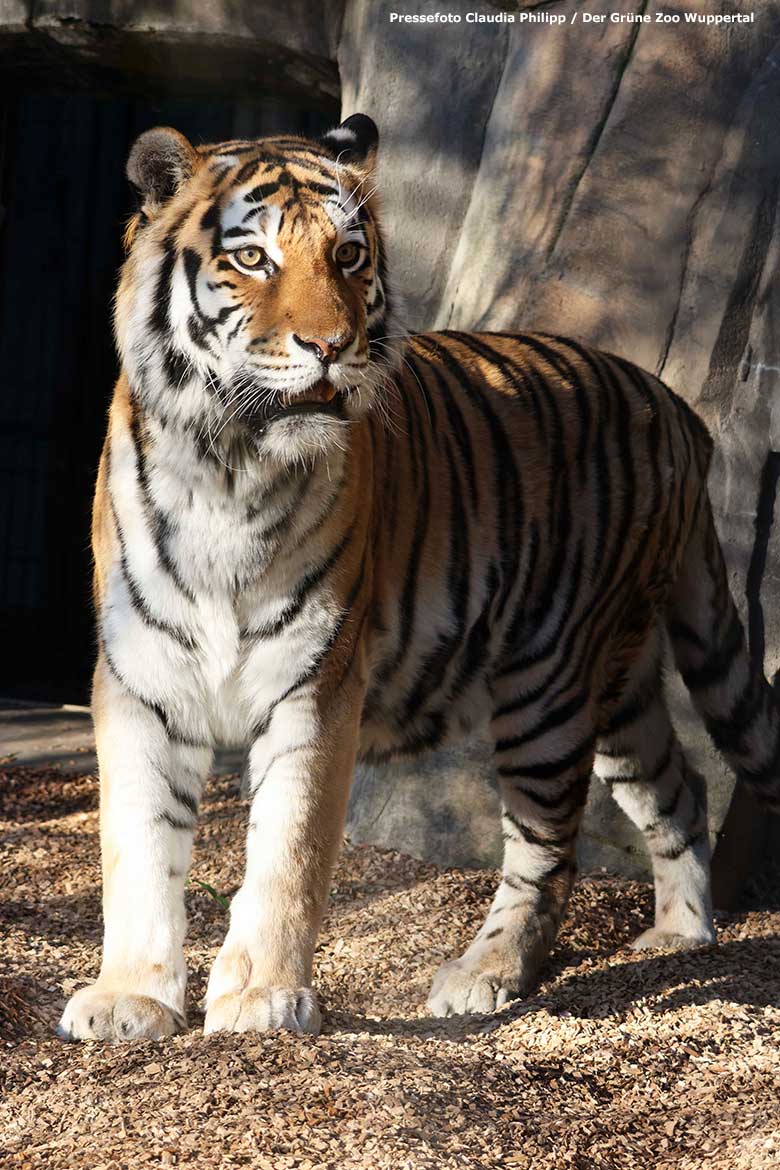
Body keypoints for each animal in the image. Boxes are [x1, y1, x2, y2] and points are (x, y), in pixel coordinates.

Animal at [59, 111, 780, 1043]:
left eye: (349, 255)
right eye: (252, 258)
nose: (330, 347)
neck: (229, 464)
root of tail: (682, 412)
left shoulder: (316, 680)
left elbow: (287, 851)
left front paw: (261, 998)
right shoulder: (140, 676)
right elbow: (138, 848)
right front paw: (130, 997)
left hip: (550, 682)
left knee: (548, 850)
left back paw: (485, 974)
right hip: (620, 681)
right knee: (679, 788)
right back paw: (679, 937)